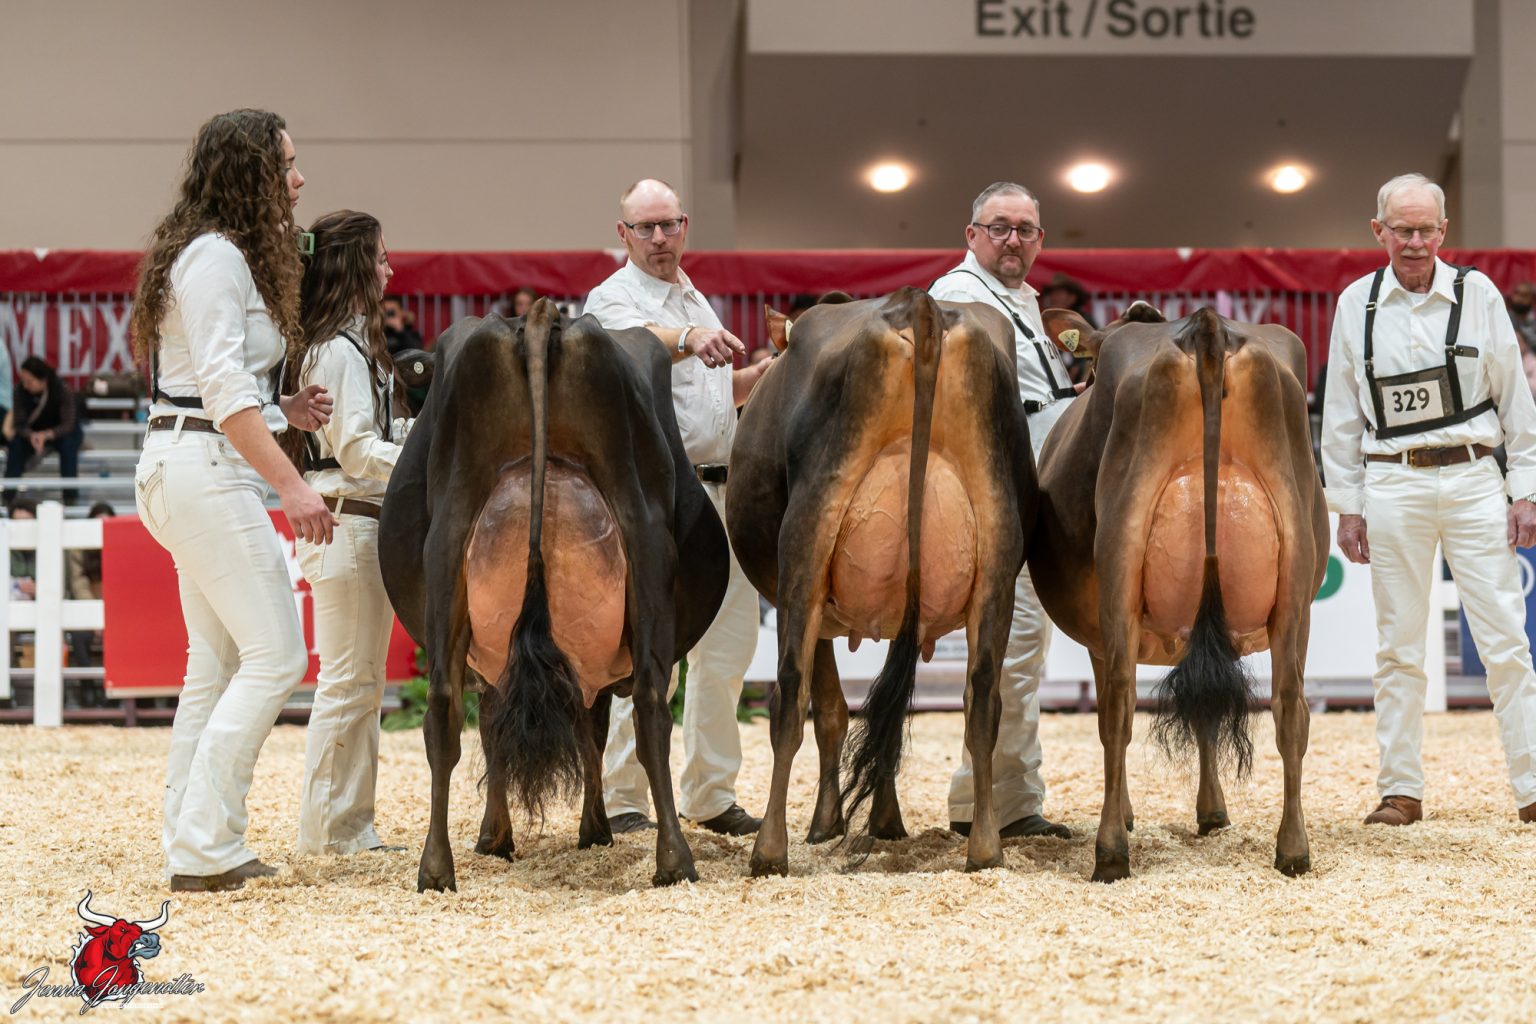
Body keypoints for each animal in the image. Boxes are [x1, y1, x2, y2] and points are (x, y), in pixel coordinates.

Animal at [379, 298, 730, 892]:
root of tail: (541, 317)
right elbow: (589, 729)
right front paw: (589, 830)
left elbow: (499, 727)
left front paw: (500, 836)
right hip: (644, 546)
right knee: (651, 707)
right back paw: (675, 860)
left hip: (448, 543)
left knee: (443, 710)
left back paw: (435, 868)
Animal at [726, 287, 1035, 876]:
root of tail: (920, 306)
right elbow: (884, 707)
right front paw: (885, 822)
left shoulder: (819, 609)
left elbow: (831, 709)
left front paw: (828, 823)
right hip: (999, 551)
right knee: (982, 697)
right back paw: (986, 848)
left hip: (806, 541)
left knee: (789, 695)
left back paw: (769, 851)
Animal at [1032, 303, 1328, 882]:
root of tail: (1206, 327)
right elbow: (1206, 705)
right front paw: (1213, 812)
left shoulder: (1099, 637)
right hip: (1296, 582)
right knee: (1290, 706)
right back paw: (1293, 850)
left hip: (1120, 558)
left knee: (1118, 707)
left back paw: (1110, 852)